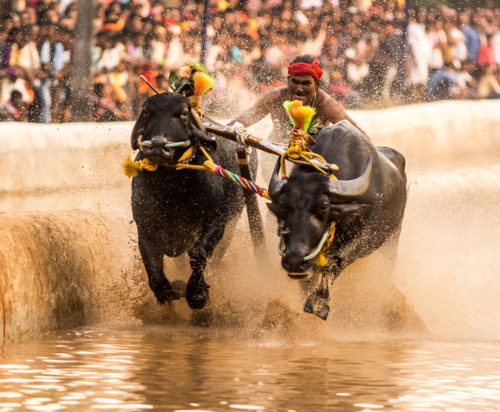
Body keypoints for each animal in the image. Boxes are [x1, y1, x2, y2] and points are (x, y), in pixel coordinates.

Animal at [131, 92, 256, 308]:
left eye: (183, 113)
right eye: (146, 112)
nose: (158, 147)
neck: (171, 189)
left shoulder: (217, 222)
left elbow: (198, 254)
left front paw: (196, 293)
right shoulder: (145, 227)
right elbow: (153, 267)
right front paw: (169, 289)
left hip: (234, 218)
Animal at [268, 120, 404, 320]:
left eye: (324, 206)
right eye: (284, 206)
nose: (293, 261)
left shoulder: (363, 238)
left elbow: (336, 261)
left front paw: (319, 303)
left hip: (392, 239)